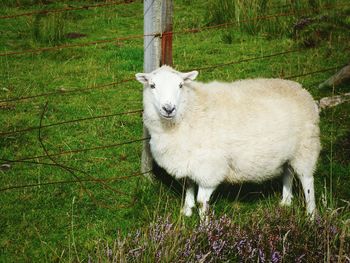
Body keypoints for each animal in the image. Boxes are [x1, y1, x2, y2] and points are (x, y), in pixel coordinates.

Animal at [135, 65, 322, 221]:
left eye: (180, 85)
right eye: (152, 86)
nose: (168, 109)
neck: (188, 111)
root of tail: (301, 89)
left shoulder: (210, 168)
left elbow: (202, 201)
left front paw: (205, 229)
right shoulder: (190, 161)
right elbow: (188, 186)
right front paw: (187, 211)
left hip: (306, 148)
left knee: (307, 181)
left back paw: (311, 216)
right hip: (289, 152)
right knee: (288, 173)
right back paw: (286, 202)